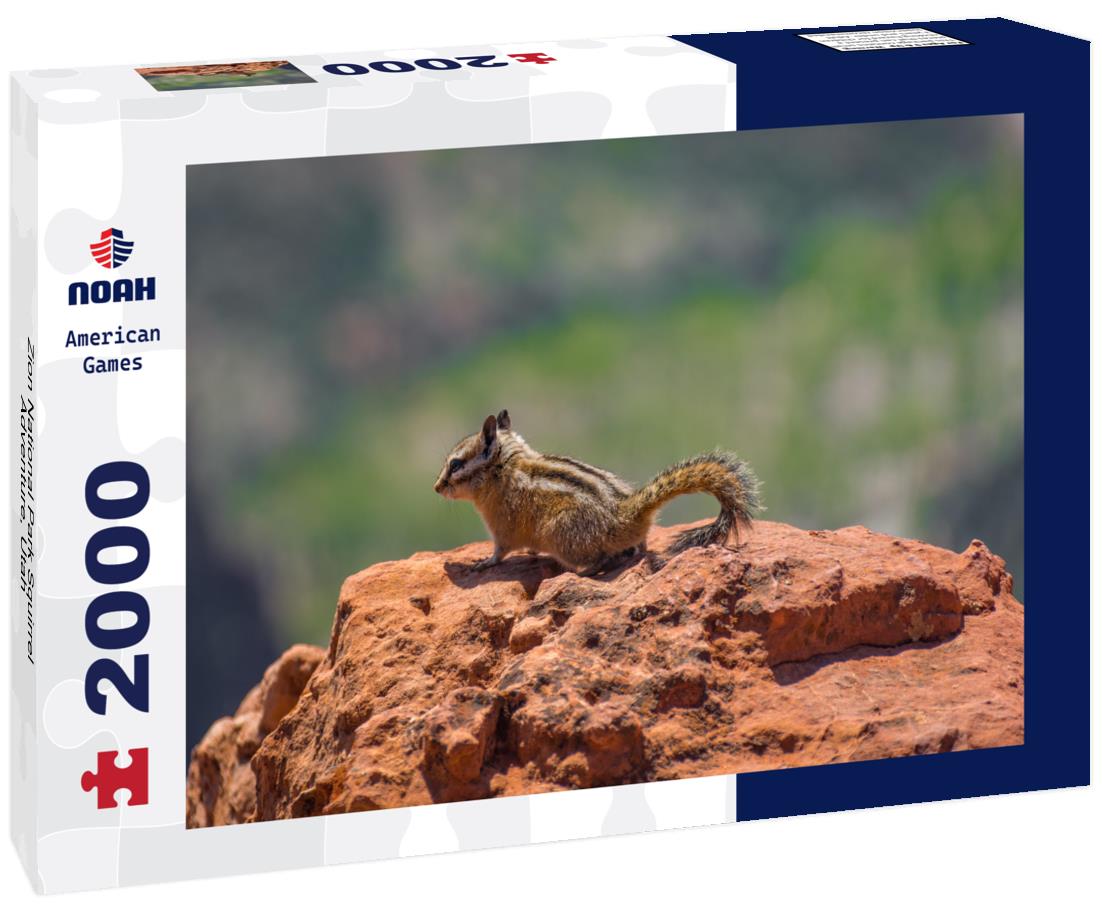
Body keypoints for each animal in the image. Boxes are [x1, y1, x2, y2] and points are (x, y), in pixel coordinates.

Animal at [433, 409, 762, 575]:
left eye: (455, 464)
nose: (436, 487)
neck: (506, 468)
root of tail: (625, 514)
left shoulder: (502, 527)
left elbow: (499, 552)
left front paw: (482, 563)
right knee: (635, 550)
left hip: (561, 534)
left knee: (603, 559)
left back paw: (583, 572)